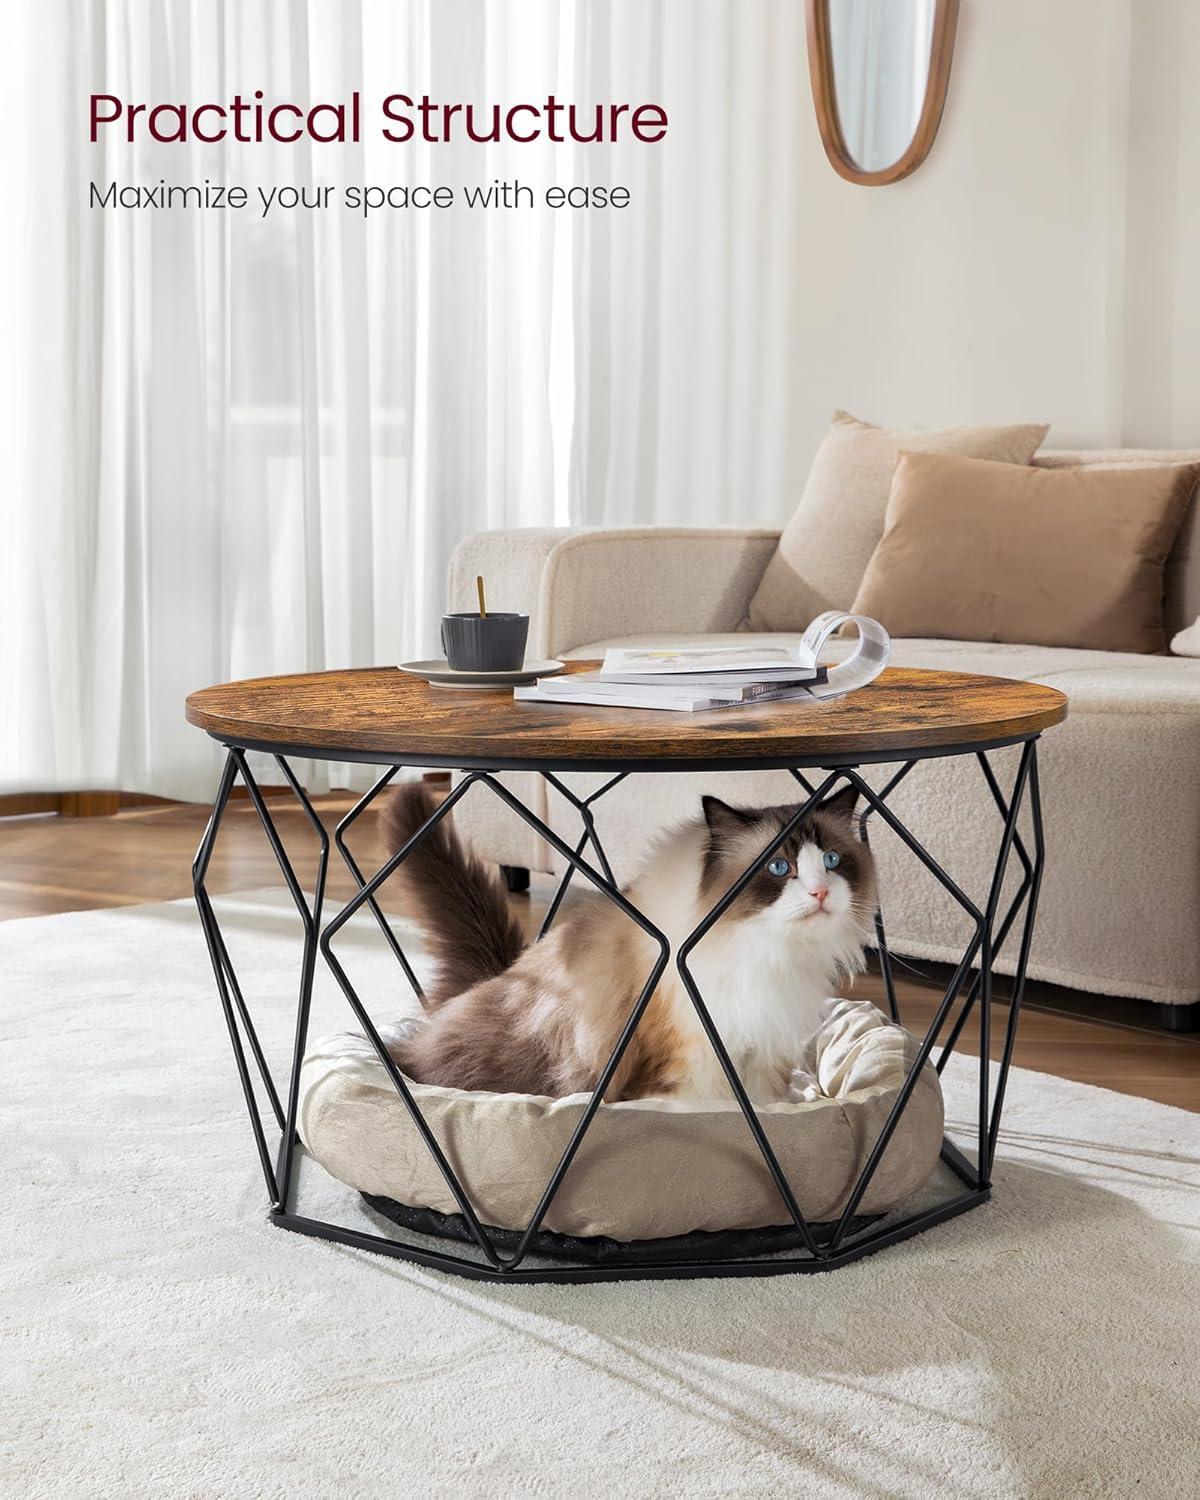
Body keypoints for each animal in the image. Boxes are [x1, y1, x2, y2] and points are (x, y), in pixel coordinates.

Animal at [379, 786, 876, 1104]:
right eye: (778, 867)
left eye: (832, 860)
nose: (820, 892)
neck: (767, 955)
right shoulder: (689, 1067)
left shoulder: (765, 1058)